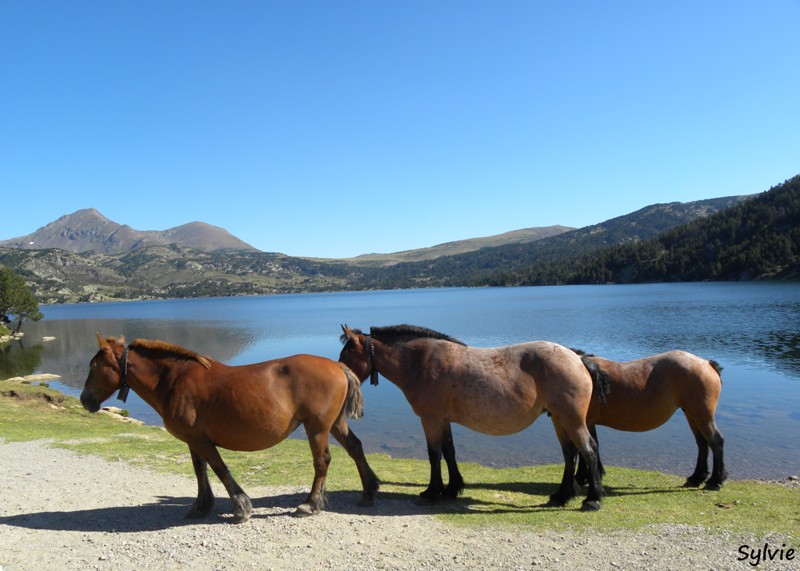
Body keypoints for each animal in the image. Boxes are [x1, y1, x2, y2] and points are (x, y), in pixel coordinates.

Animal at [79, 336, 380, 524]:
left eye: (94, 366)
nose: (84, 399)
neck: (175, 381)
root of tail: (338, 366)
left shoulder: (202, 440)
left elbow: (220, 469)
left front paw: (241, 507)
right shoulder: (193, 439)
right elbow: (200, 470)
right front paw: (201, 505)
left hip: (317, 428)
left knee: (321, 462)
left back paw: (311, 503)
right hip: (335, 424)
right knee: (355, 448)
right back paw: (368, 490)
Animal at [336, 324, 608, 512]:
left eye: (347, 352)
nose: (339, 374)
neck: (420, 361)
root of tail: (578, 358)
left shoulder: (430, 419)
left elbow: (434, 455)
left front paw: (432, 492)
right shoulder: (443, 420)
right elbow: (449, 452)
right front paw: (452, 489)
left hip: (571, 420)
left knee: (589, 450)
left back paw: (592, 499)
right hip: (559, 419)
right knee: (570, 454)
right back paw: (561, 496)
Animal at [572, 348, 728, 492]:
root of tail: (707, 363)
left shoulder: (581, 423)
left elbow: (583, 449)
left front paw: (580, 478)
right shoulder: (588, 423)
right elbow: (592, 446)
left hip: (702, 416)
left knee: (715, 441)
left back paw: (715, 481)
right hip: (692, 415)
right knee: (702, 443)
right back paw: (696, 478)